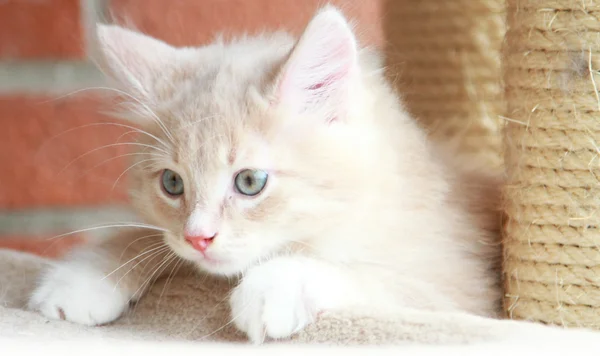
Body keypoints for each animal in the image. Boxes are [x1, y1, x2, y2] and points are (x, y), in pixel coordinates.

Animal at [30, 5, 504, 344]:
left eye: (249, 182)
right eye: (172, 183)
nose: (198, 238)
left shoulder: (465, 293)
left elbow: (369, 276)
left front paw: (277, 285)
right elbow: (144, 238)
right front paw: (84, 278)